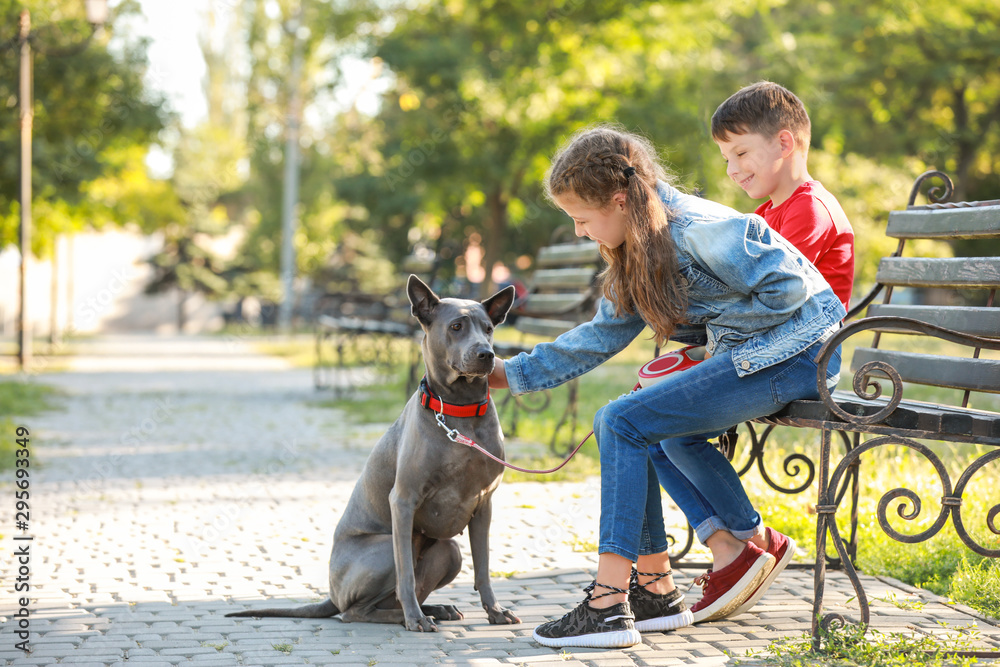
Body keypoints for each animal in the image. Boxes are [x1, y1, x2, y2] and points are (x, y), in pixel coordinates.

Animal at [228, 272, 520, 632]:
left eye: (489, 328)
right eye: (456, 327)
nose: (487, 354)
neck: (460, 411)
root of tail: (331, 593)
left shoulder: (484, 504)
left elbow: (483, 566)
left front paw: (495, 610)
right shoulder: (404, 500)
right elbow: (406, 574)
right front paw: (415, 620)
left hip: (450, 551)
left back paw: (437, 608)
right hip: (385, 550)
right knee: (356, 610)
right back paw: (412, 616)